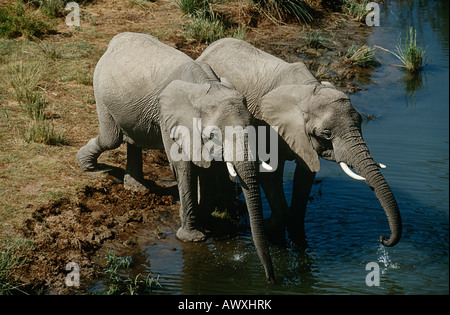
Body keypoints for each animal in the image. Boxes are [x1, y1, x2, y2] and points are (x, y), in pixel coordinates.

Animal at [76, 32, 274, 284]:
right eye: (214, 134)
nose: (270, 280)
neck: (206, 87)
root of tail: (116, 40)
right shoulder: (169, 118)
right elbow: (183, 165)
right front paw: (193, 237)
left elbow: (208, 167)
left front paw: (206, 221)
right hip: (101, 90)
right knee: (112, 138)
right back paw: (86, 164)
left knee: (132, 138)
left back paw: (135, 188)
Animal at [199, 37, 402, 249]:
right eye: (327, 134)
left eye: (361, 123)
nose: (382, 238)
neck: (308, 91)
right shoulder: (267, 125)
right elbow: (269, 174)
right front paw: (270, 227)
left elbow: (305, 177)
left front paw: (297, 237)